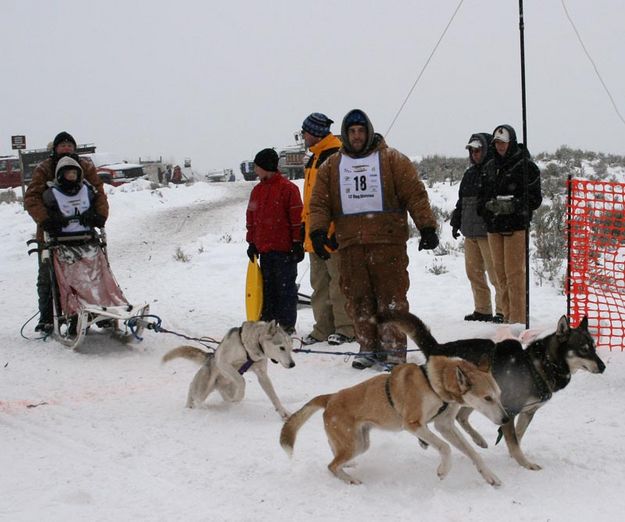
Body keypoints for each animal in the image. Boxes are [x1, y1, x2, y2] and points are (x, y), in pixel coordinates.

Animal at [163, 318, 294, 416]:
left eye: (291, 348)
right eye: (282, 347)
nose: (293, 364)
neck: (249, 349)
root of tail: (209, 357)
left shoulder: (262, 375)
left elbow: (274, 396)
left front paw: (283, 412)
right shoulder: (223, 363)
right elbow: (242, 380)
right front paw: (239, 397)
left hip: (226, 388)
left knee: (224, 397)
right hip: (203, 388)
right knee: (193, 391)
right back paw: (190, 406)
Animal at [280, 358, 510, 484]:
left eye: (499, 395)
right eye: (487, 398)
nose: (506, 418)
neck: (434, 385)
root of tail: (330, 397)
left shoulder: (444, 426)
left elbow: (473, 454)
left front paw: (490, 477)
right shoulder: (414, 424)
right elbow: (445, 448)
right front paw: (443, 470)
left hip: (360, 442)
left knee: (335, 455)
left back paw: (348, 466)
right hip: (354, 443)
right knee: (331, 466)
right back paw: (349, 479)